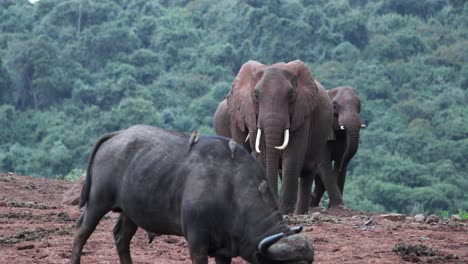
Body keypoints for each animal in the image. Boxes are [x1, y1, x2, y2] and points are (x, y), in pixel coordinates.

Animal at [68, 125, 314, 262]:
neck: (231, 191)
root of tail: (117, 135)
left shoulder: (224, 251)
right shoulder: (197, 244)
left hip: (132, 212)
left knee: (121, 237)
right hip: (97, 201)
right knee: (82, 231)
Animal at [216, 60, 344, 214]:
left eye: (290, 95)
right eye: (256, 95)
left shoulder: (302, 112)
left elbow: (293, 154)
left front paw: (284, 210)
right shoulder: (251, 113)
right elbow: (261, 152)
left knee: (308, 169)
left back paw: (300, 212)